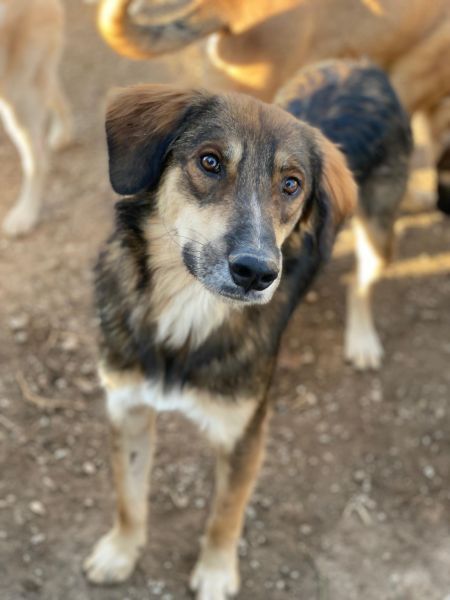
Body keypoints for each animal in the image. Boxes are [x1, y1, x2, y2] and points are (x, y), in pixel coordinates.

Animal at [83, 61, 410, 598]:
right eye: (210, 161)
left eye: (292, 184)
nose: (258, 273)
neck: (187, 314)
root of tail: (364, 67)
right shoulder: (126, 407)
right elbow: (128, 496)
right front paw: (120, 552)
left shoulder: (245, 433)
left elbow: (225, 514)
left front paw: (216, 574)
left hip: (380, 229)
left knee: (362, 282)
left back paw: (362, 340)